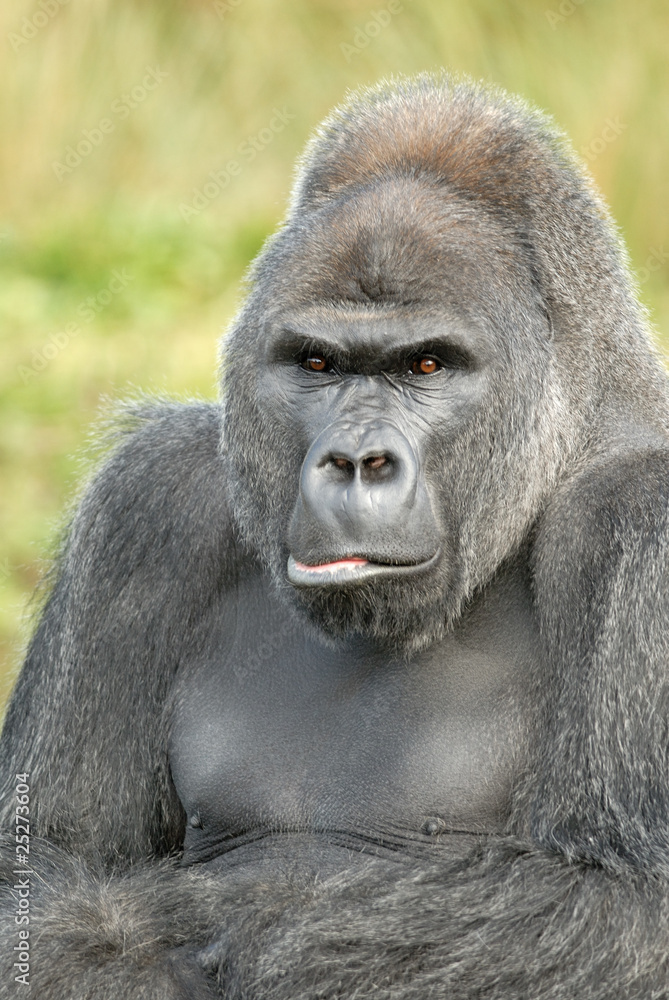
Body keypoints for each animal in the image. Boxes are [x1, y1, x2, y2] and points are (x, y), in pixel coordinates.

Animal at [2, 73, 669, 999]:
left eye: (426, 365)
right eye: (317, 364)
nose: (355, 461)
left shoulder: (640, 517)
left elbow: (629, 911)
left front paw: (175, 936)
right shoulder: (150, 504)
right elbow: (50, 856)